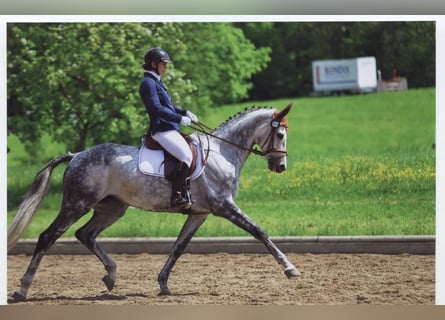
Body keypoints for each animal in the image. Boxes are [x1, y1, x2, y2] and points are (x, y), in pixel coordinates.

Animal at [7, 104, 298, 302]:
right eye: (280, 135)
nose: (281, 167)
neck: (222, 153)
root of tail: (77, 155)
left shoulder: (199, 214)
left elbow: (179, 247)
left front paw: (163, 283)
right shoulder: (225, 207)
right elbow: (259, 231)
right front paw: (290, 268)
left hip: (112, 208)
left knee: (85, 234)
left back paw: (111, 275)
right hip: (76, 204)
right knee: (48, 236)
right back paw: (23, 288)